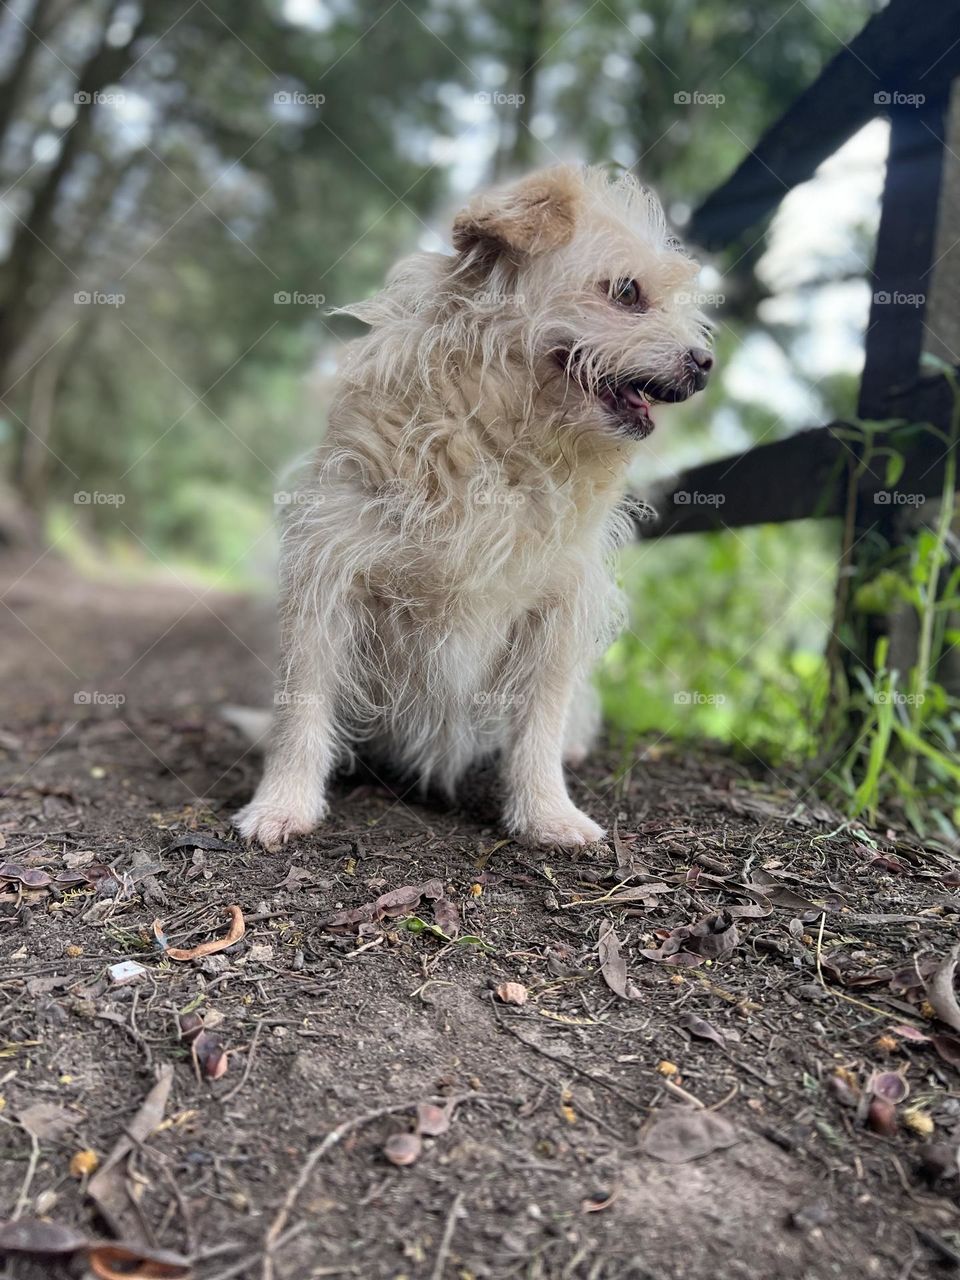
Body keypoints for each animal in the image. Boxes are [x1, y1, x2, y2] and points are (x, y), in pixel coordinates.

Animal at [235, 162, 711, 849]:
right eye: (626, 292)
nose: (706, 363)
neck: (499, 444)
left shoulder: (559, 606)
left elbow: (539, 724)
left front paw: (546, 813)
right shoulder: (330, 572)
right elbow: (303, 708)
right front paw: (282, 804)